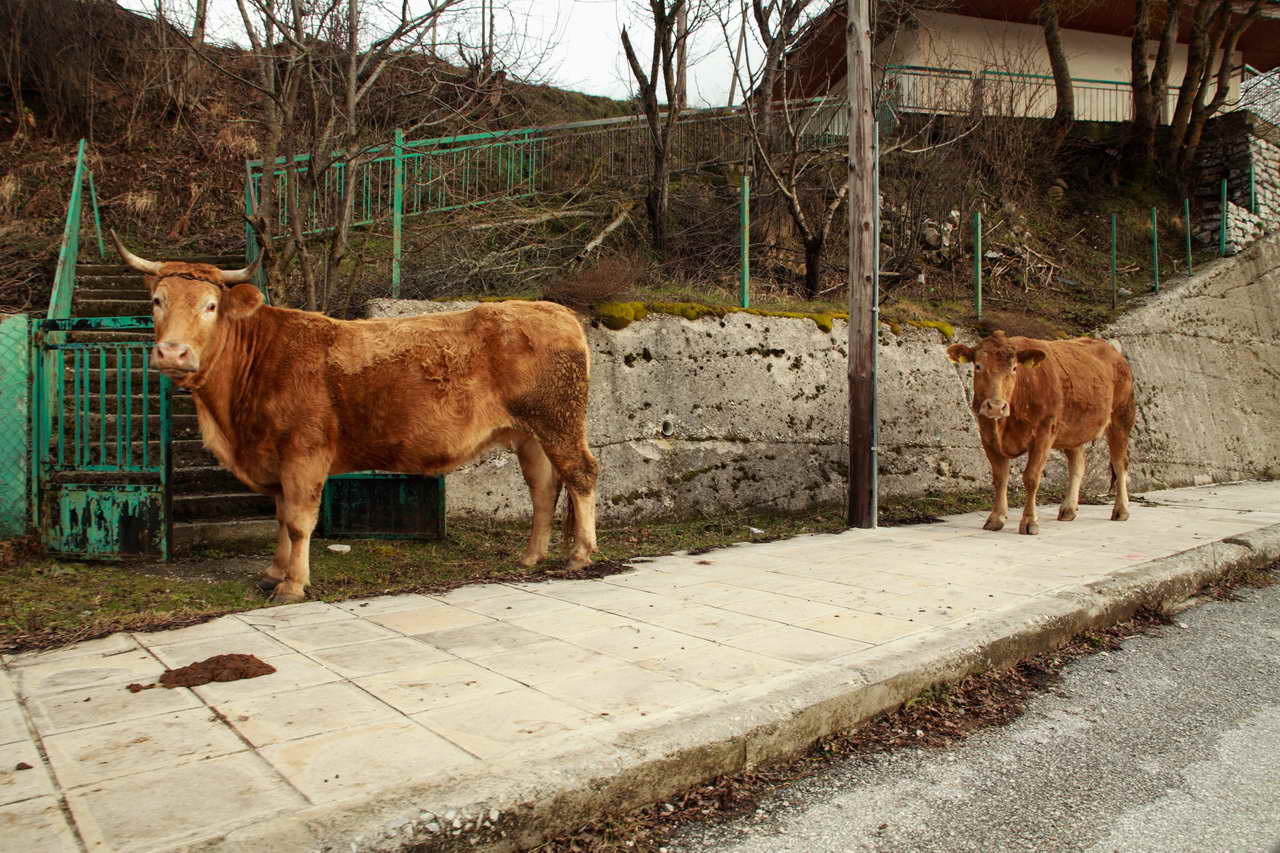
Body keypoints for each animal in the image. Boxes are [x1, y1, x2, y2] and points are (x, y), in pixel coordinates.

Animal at [112, 233, 599, 603]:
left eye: (210, 306)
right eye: (156, 301)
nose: (173, 352)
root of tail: (552, 309)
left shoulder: (304, 452)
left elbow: (298, 521)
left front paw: (293, 585)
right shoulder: (275, 458)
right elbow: (280, 517)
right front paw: (273, 572)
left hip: (559, 423)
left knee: (581, 475)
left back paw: (580, 554)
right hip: (529, 433)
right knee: (543, 488)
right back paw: (531, 556)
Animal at [946, 330, 1135, 535]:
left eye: (1014, 368)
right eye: (978, 366)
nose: (996, 406)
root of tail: (1113, 351)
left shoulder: (1043, 433)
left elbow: (1031, 478)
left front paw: (1029, 522)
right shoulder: (988, 434)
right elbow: (1000, 478)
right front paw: (996, 518)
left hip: (1121, 418)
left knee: (1119, 462)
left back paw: (1121, 510)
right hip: (1071, 430)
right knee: (1077, 464)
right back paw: (1068, 509)